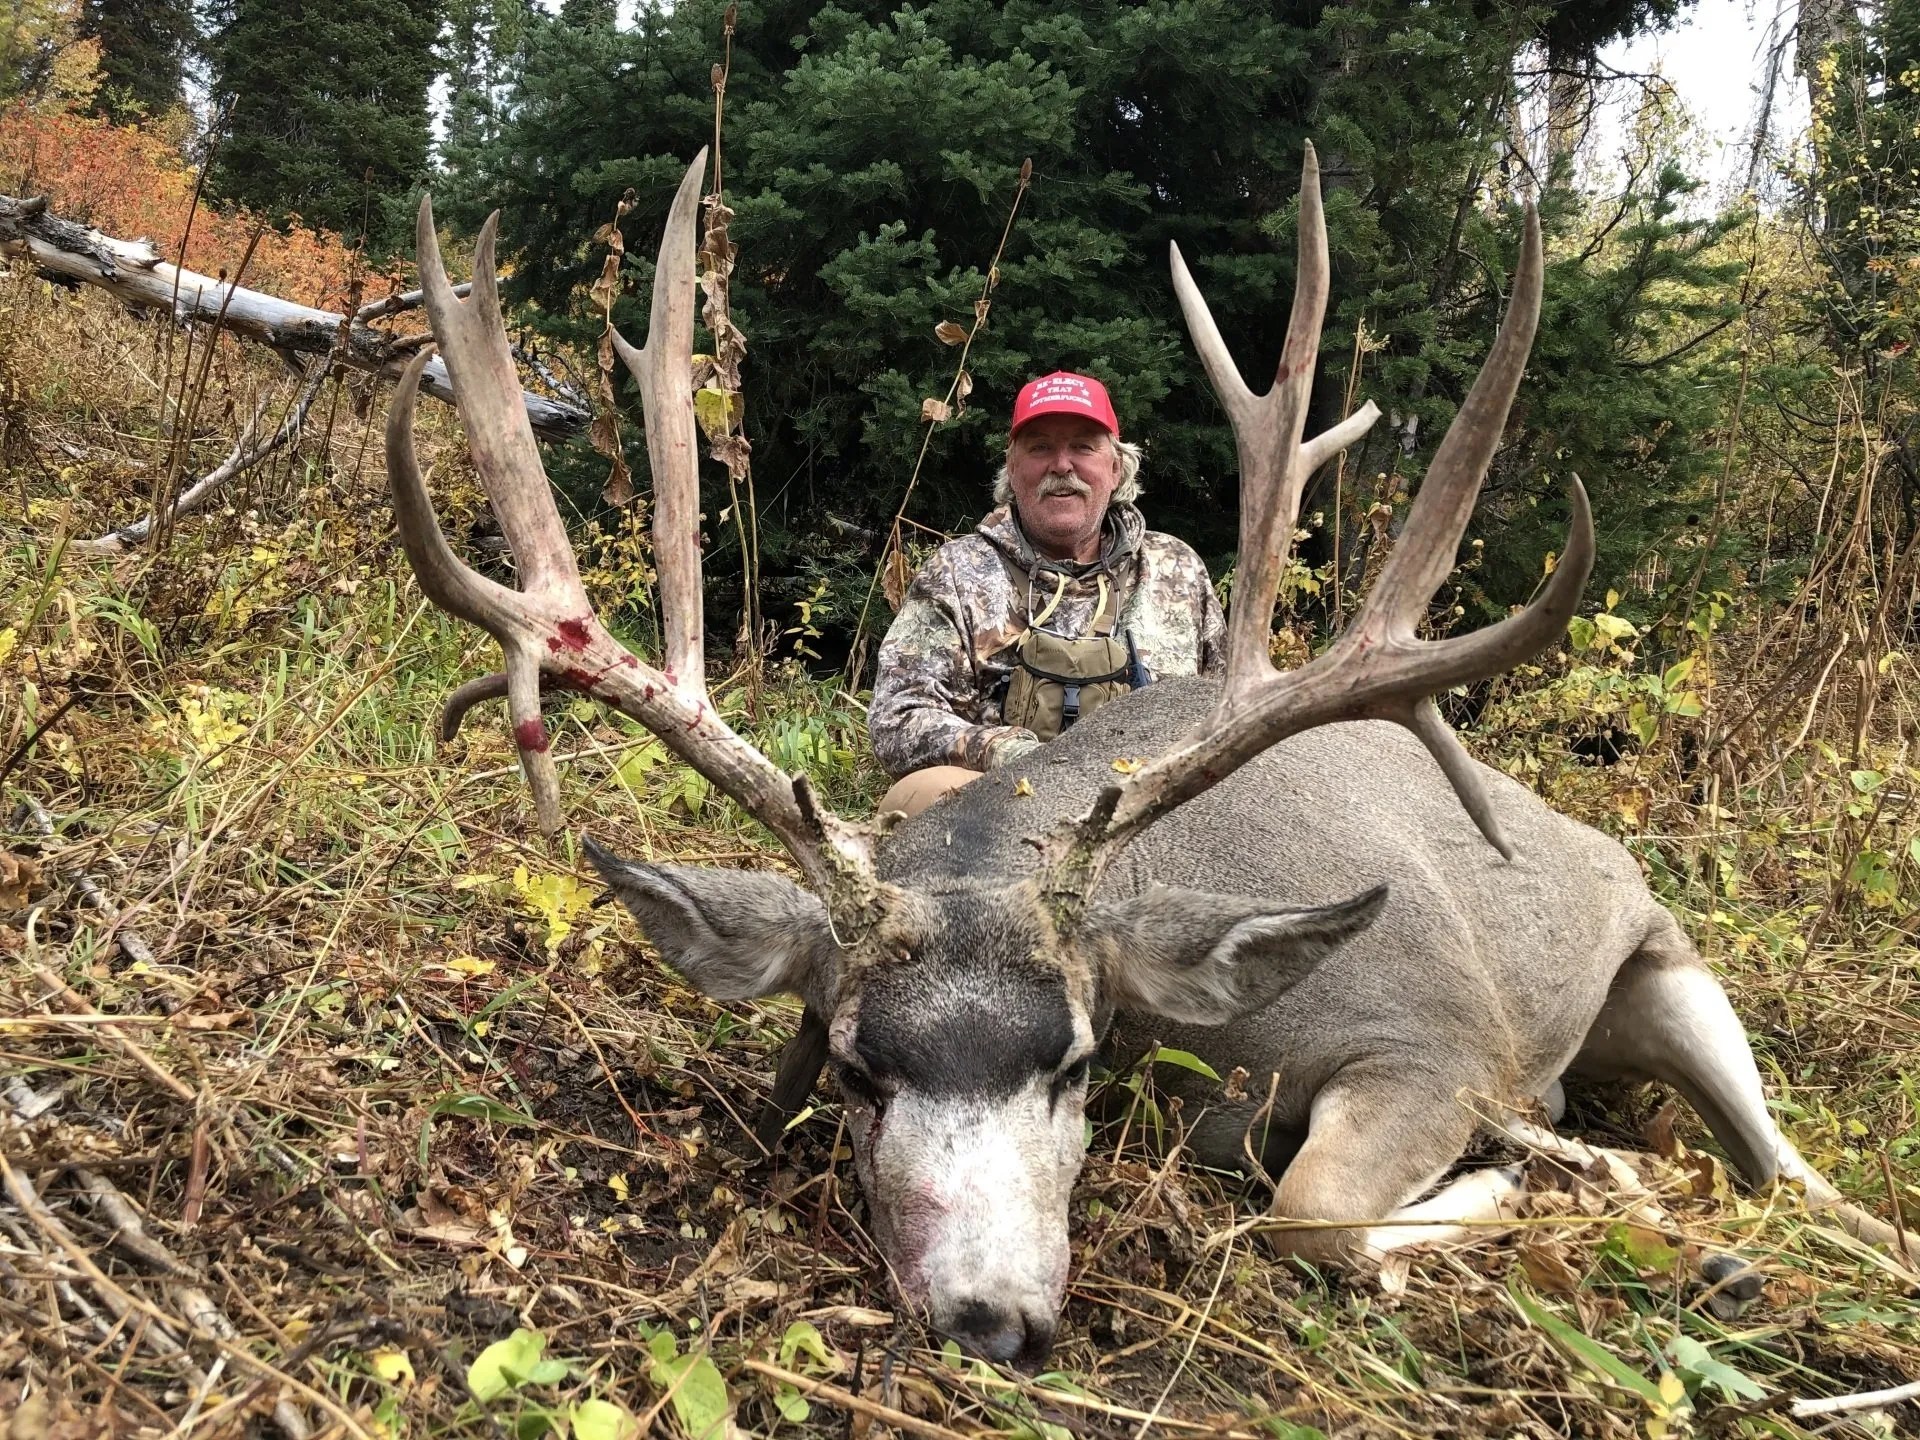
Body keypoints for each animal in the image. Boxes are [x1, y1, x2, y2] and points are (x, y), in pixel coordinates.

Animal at [385, 147, 1903, 1369]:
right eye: (858, 1069)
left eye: (1072, 1059)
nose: (992, 1320)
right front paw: (1580, 1187)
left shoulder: (1437, 1036)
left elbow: (1308, 1216)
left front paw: (1543, 1193)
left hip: (1667, 957)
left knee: (1787, 1172)